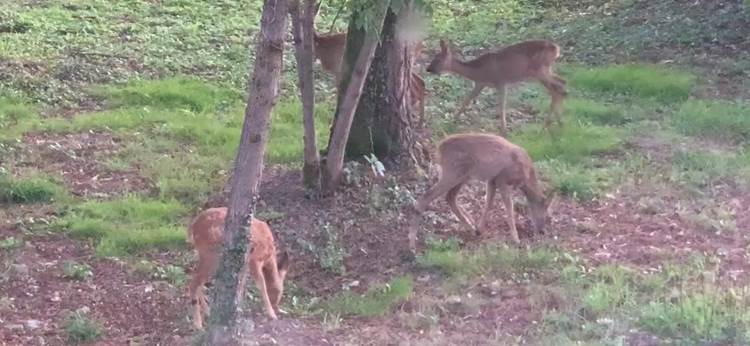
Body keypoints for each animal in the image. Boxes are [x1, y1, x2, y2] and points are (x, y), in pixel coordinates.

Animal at [414, 132, 556, 243]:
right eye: (548, 217)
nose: (542, 231)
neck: (526, 176)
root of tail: (439, 147)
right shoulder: (502, 179)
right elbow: (509, 208)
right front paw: (516, 239)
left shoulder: (492, 180)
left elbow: (488, 203)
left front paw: (480, 228)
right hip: (453, 172)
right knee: (426, 197)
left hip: (463, 175)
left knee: (450, 196)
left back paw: (471, 226)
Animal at [426, 40, 568, 135]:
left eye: (437, 60)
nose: (428, 69)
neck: (477, 70)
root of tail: (556, 48)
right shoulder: (480, 83)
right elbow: (467, 99)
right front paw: (451, 122)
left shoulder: (501, 82)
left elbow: (501, 106)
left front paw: (503, 131)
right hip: (542, 71)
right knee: (560, 85)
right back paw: (557, 122)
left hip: (539, 70)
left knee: (559, 86)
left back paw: (548, 125)